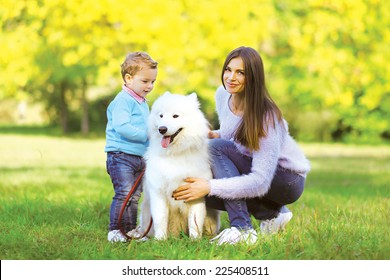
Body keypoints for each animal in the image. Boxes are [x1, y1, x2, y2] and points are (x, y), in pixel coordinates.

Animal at [134, 92, 219, 241]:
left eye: (175, 116)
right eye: (161, 116)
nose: (162, 129)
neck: (175, 154)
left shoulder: (196, 194)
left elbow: (195, 223)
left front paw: (195, 241)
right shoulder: (158, 193)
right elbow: (160, 219)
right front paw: (160, 240)